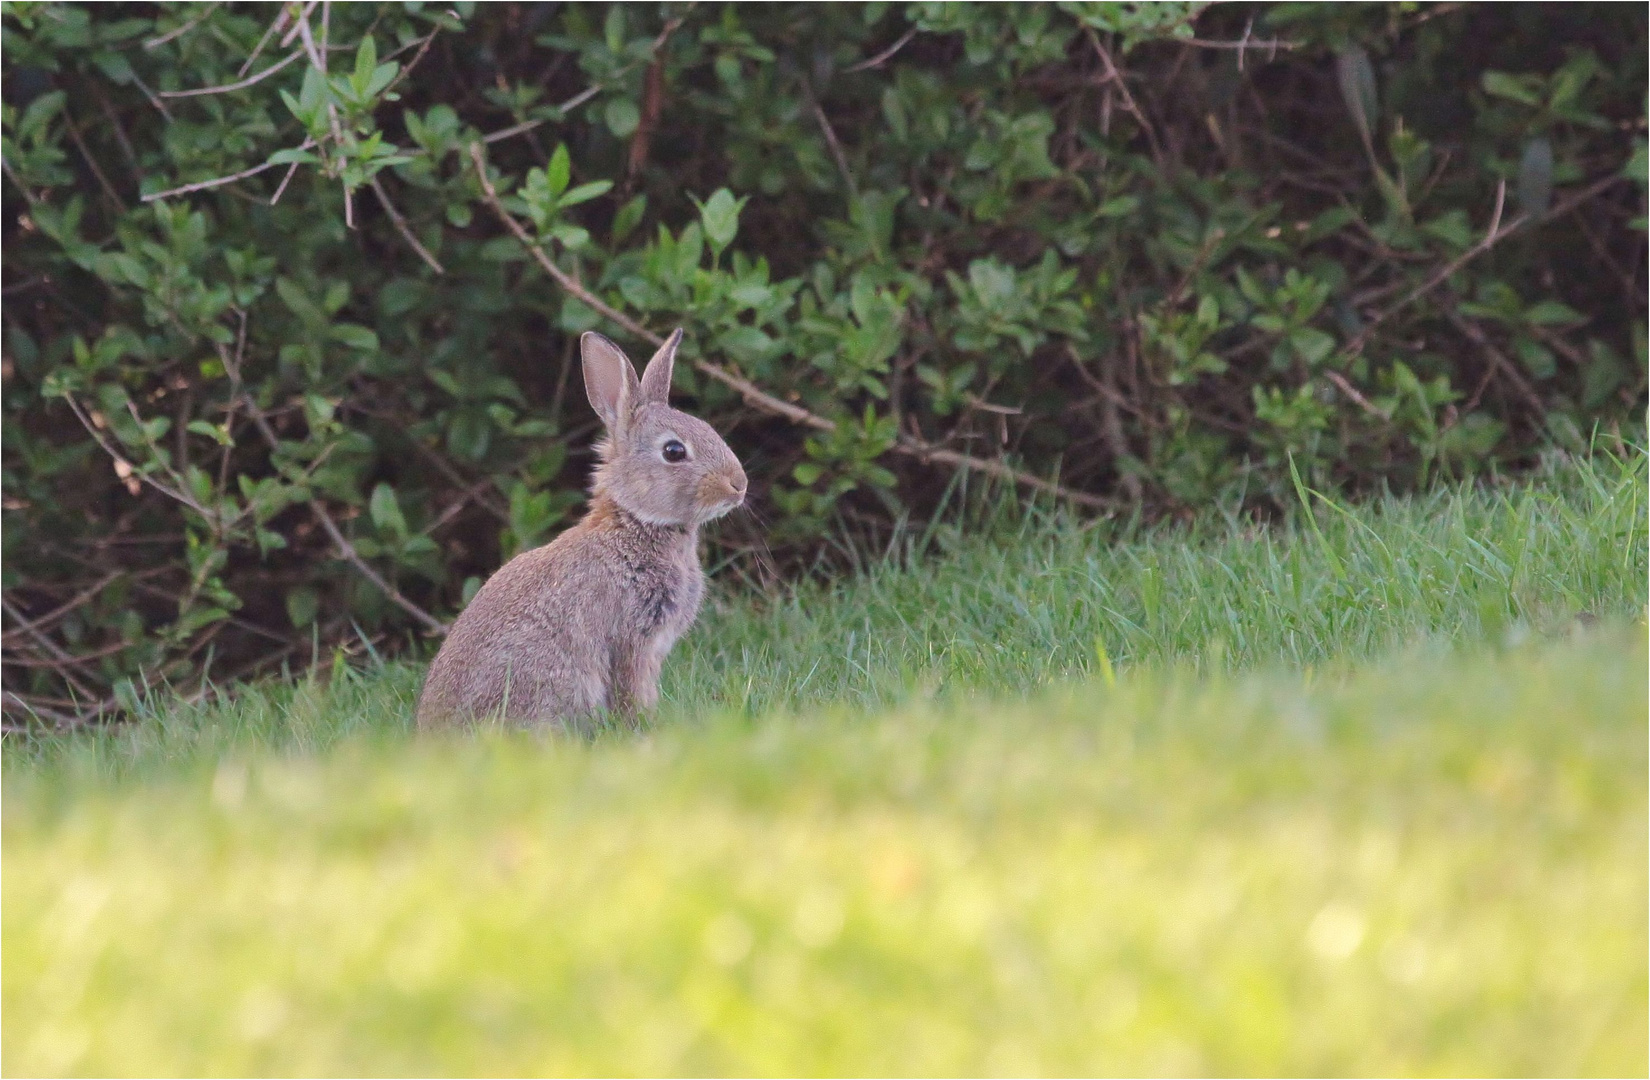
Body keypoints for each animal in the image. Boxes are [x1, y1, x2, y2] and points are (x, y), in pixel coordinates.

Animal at [412, 329, 749, 732]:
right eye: (673, 451)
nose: (739, 485)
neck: (635, 521)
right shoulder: (631, 642)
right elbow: (633, 691)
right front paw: (645, 726)